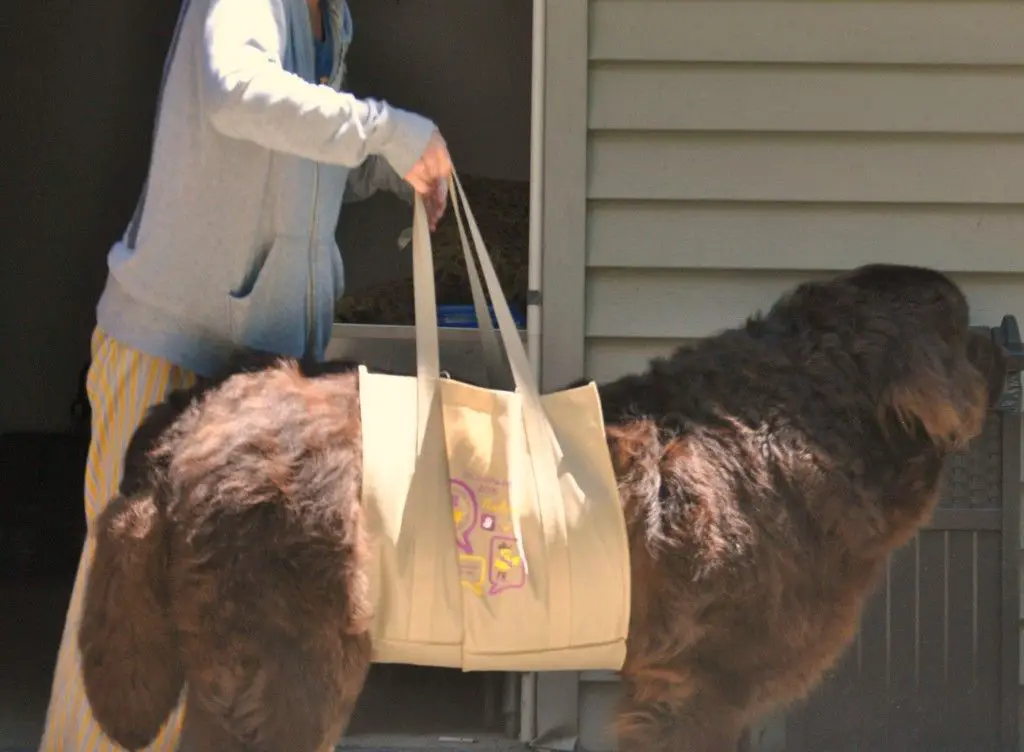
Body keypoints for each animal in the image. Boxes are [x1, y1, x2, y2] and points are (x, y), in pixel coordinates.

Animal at [79, 264, 1007, 752]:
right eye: (964, 326)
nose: (1007, 334)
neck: (808, 415)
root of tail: (193, 420)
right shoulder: (702, 684)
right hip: (288, 664)